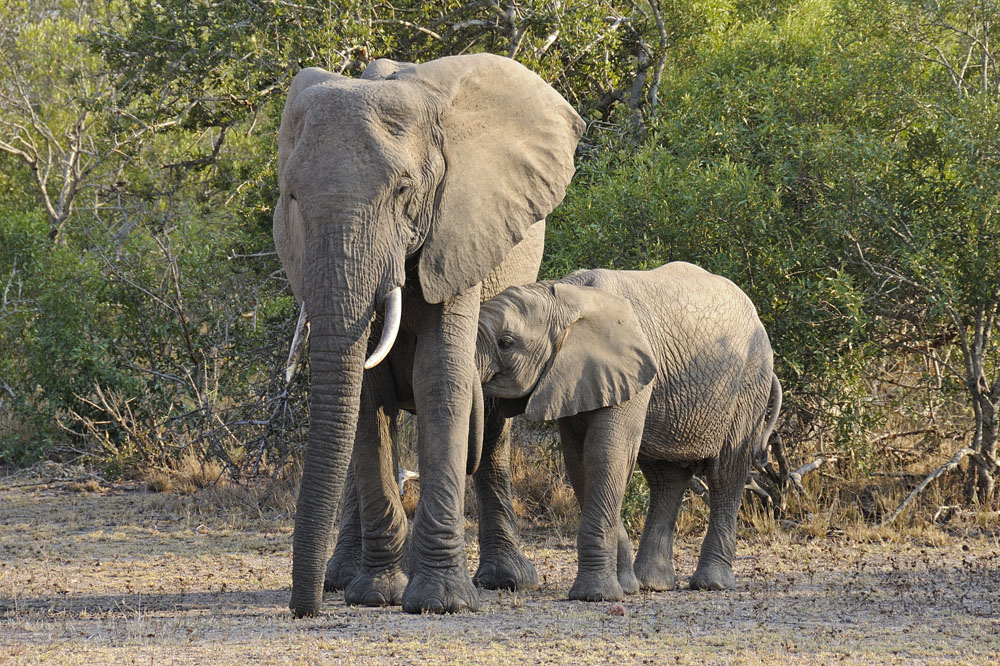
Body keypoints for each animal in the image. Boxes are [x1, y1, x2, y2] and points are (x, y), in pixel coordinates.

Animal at [273, 53, 585, 616]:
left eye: (403, 191)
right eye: (290, 196)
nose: (302, 611)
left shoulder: (457, 233)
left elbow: (442, 377)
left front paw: (440, 603)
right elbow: (365, 394)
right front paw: (377, 593)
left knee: (495, 428)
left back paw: (506, 580)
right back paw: (342, 579)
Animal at [475, 262, 782, 601]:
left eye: (505, 343)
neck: (565, 297)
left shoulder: (625, 371)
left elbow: (605, 453)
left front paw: (595, 595)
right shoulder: (574, 378)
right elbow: (580, 462)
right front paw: (624, 587)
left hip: (748, 383)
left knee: (725, 473)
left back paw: (711, 584)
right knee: (666, 478)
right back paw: (652, 584)